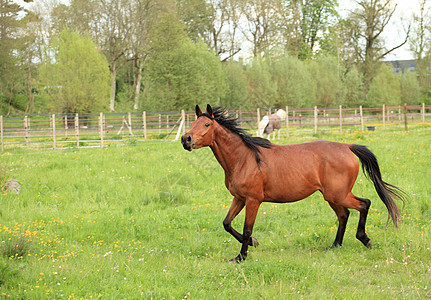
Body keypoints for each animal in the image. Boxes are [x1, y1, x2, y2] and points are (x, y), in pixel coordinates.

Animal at [181, 104, 406, 262]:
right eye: (192, 124)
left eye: (207, 124)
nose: (186, 140)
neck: (244, 158)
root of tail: (347, 146)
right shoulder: (239, 198)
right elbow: (227, 223)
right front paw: (253, 244)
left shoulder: (253, 200)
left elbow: (246, 229)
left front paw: (241, 257)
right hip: (331, 196)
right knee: (344, 215)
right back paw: (335, 245)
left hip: (338, 194)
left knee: (364, 204)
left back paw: (364, 239)